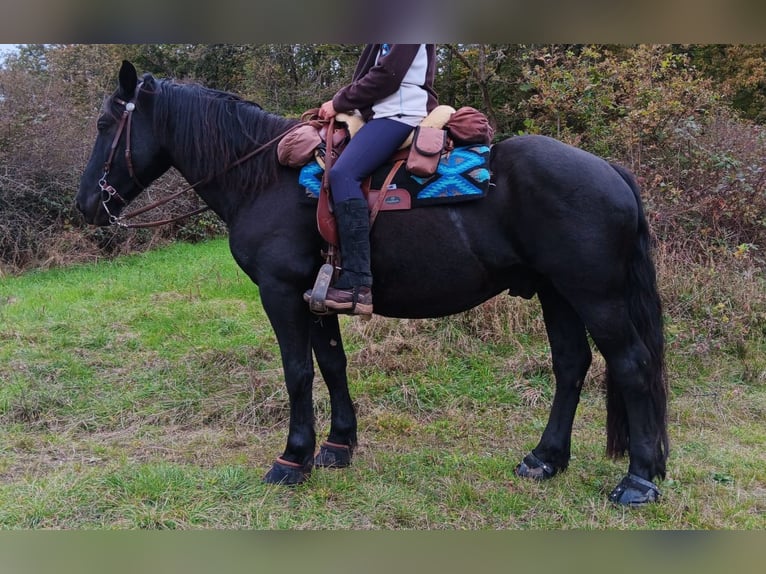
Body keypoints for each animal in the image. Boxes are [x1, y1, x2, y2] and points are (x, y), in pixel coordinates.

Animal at [75, 60, 668, 506]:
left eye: (106, 124)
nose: (86, 205)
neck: (264, 178)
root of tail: (610, 170)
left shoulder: (280, 292)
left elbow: (296, 372)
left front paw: (291, 459)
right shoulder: (317, 297)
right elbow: (331, 365)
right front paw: (338, 447)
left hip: (595, 295)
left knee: (632, 366)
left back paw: (637, 481)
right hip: (555, 292)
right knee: (571, 365)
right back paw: (545, 460)